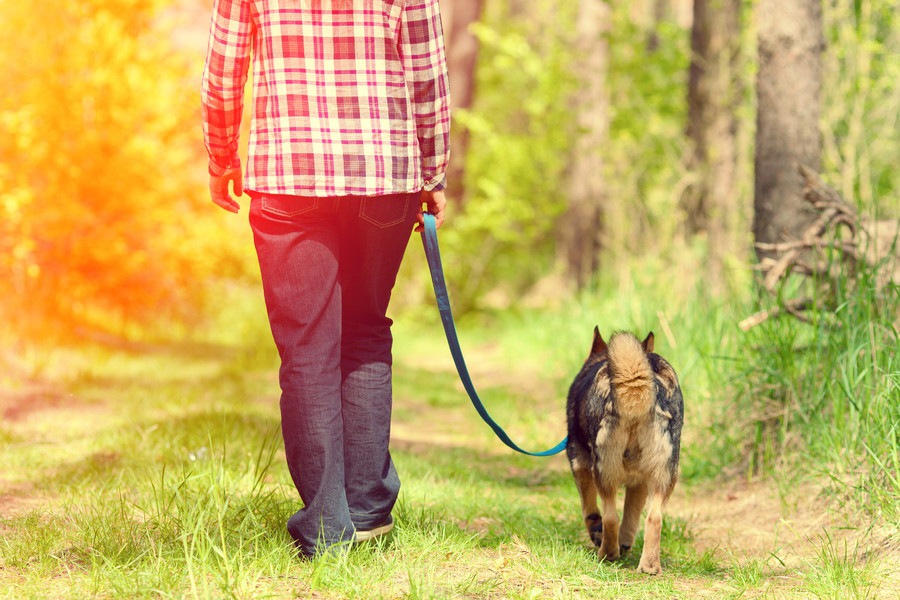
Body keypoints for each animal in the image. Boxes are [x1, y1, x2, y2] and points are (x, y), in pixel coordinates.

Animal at [568, 328, 684, 576]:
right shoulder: (639, 483)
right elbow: (631, 516)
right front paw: (626, 543)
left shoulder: (579, 463)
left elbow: (590, 508)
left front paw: (598, 533)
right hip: (664, 474)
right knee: (654, 518)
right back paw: (649, 566)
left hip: (603, 470)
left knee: (610, 516)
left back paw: (607, 554)